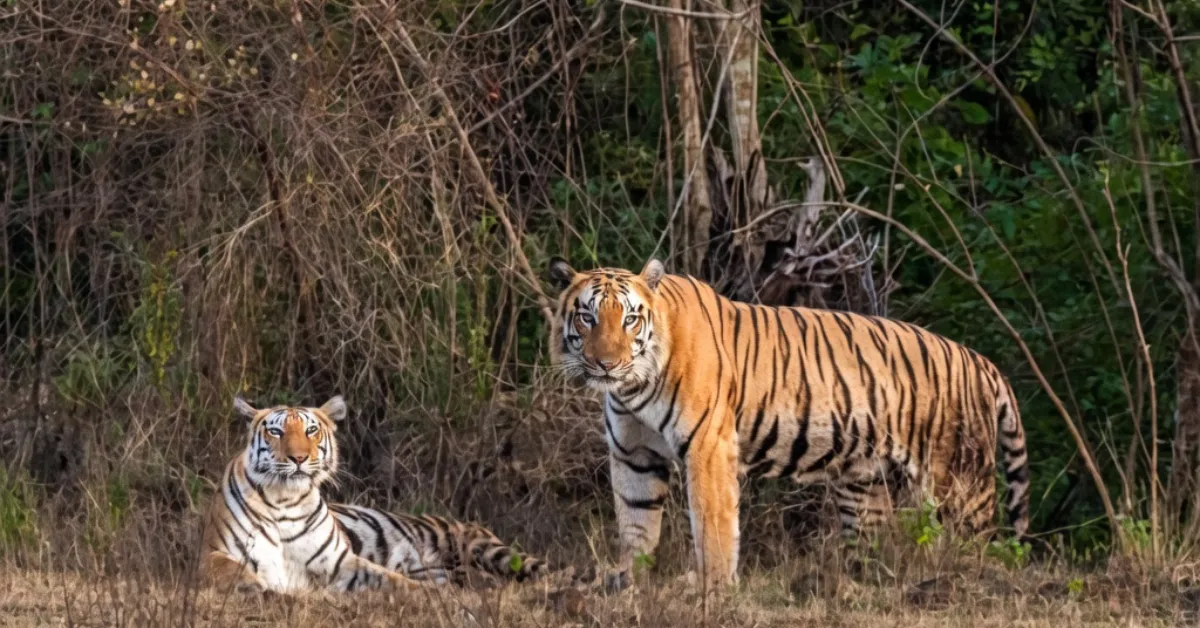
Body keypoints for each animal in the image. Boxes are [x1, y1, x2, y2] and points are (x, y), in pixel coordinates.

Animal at [199, 394, 546, 595]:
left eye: (311, 430)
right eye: (276, 431)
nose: (298, 458)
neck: (285, 499)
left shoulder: (339, 562)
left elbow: (393, 581)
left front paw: (430, 597)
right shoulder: (214, 555)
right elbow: (233, 573)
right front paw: (259, 588)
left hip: (483, 548)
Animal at [546, 257, 1030, 590]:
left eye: (630, 318)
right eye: (588, 317)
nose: (607, 364)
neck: (633, 387)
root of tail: (982, 362)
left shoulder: (708, 447)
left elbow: (713, 523)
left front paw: (712, 589)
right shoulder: (635, 454)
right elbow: (635, 523)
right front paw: (628, 581)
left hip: (959, 485)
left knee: (979, 545)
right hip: (862, 483)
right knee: (873, 537)